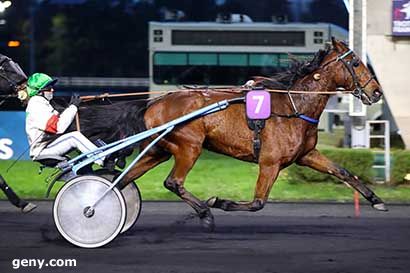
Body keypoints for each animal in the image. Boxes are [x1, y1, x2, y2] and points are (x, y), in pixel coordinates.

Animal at [80, 37, 388, 228]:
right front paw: (220, 202)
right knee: (173, 182)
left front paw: (377, 201)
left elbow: (343, 172)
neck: (293, 106)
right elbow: (257, 203)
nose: (376, 92)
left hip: (159, 150)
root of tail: (153, 103)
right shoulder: (270, 162)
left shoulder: (306, 155)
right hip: (189, 146)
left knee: (122, 181)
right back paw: (204, 212)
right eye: (356, 63)